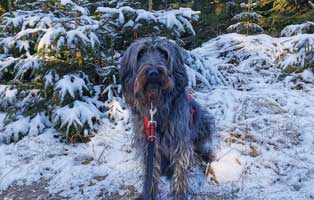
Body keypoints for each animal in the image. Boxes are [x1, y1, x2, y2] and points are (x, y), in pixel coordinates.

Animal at [119, 38, 213, 200]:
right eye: (140, 53)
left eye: (164, 53)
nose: (153, 73)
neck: (156, 106)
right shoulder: (147, 141)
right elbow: (150, 169)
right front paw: (149, 193)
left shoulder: (180, 139)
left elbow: (180, 169)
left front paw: (179, 194)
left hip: (203, 121)